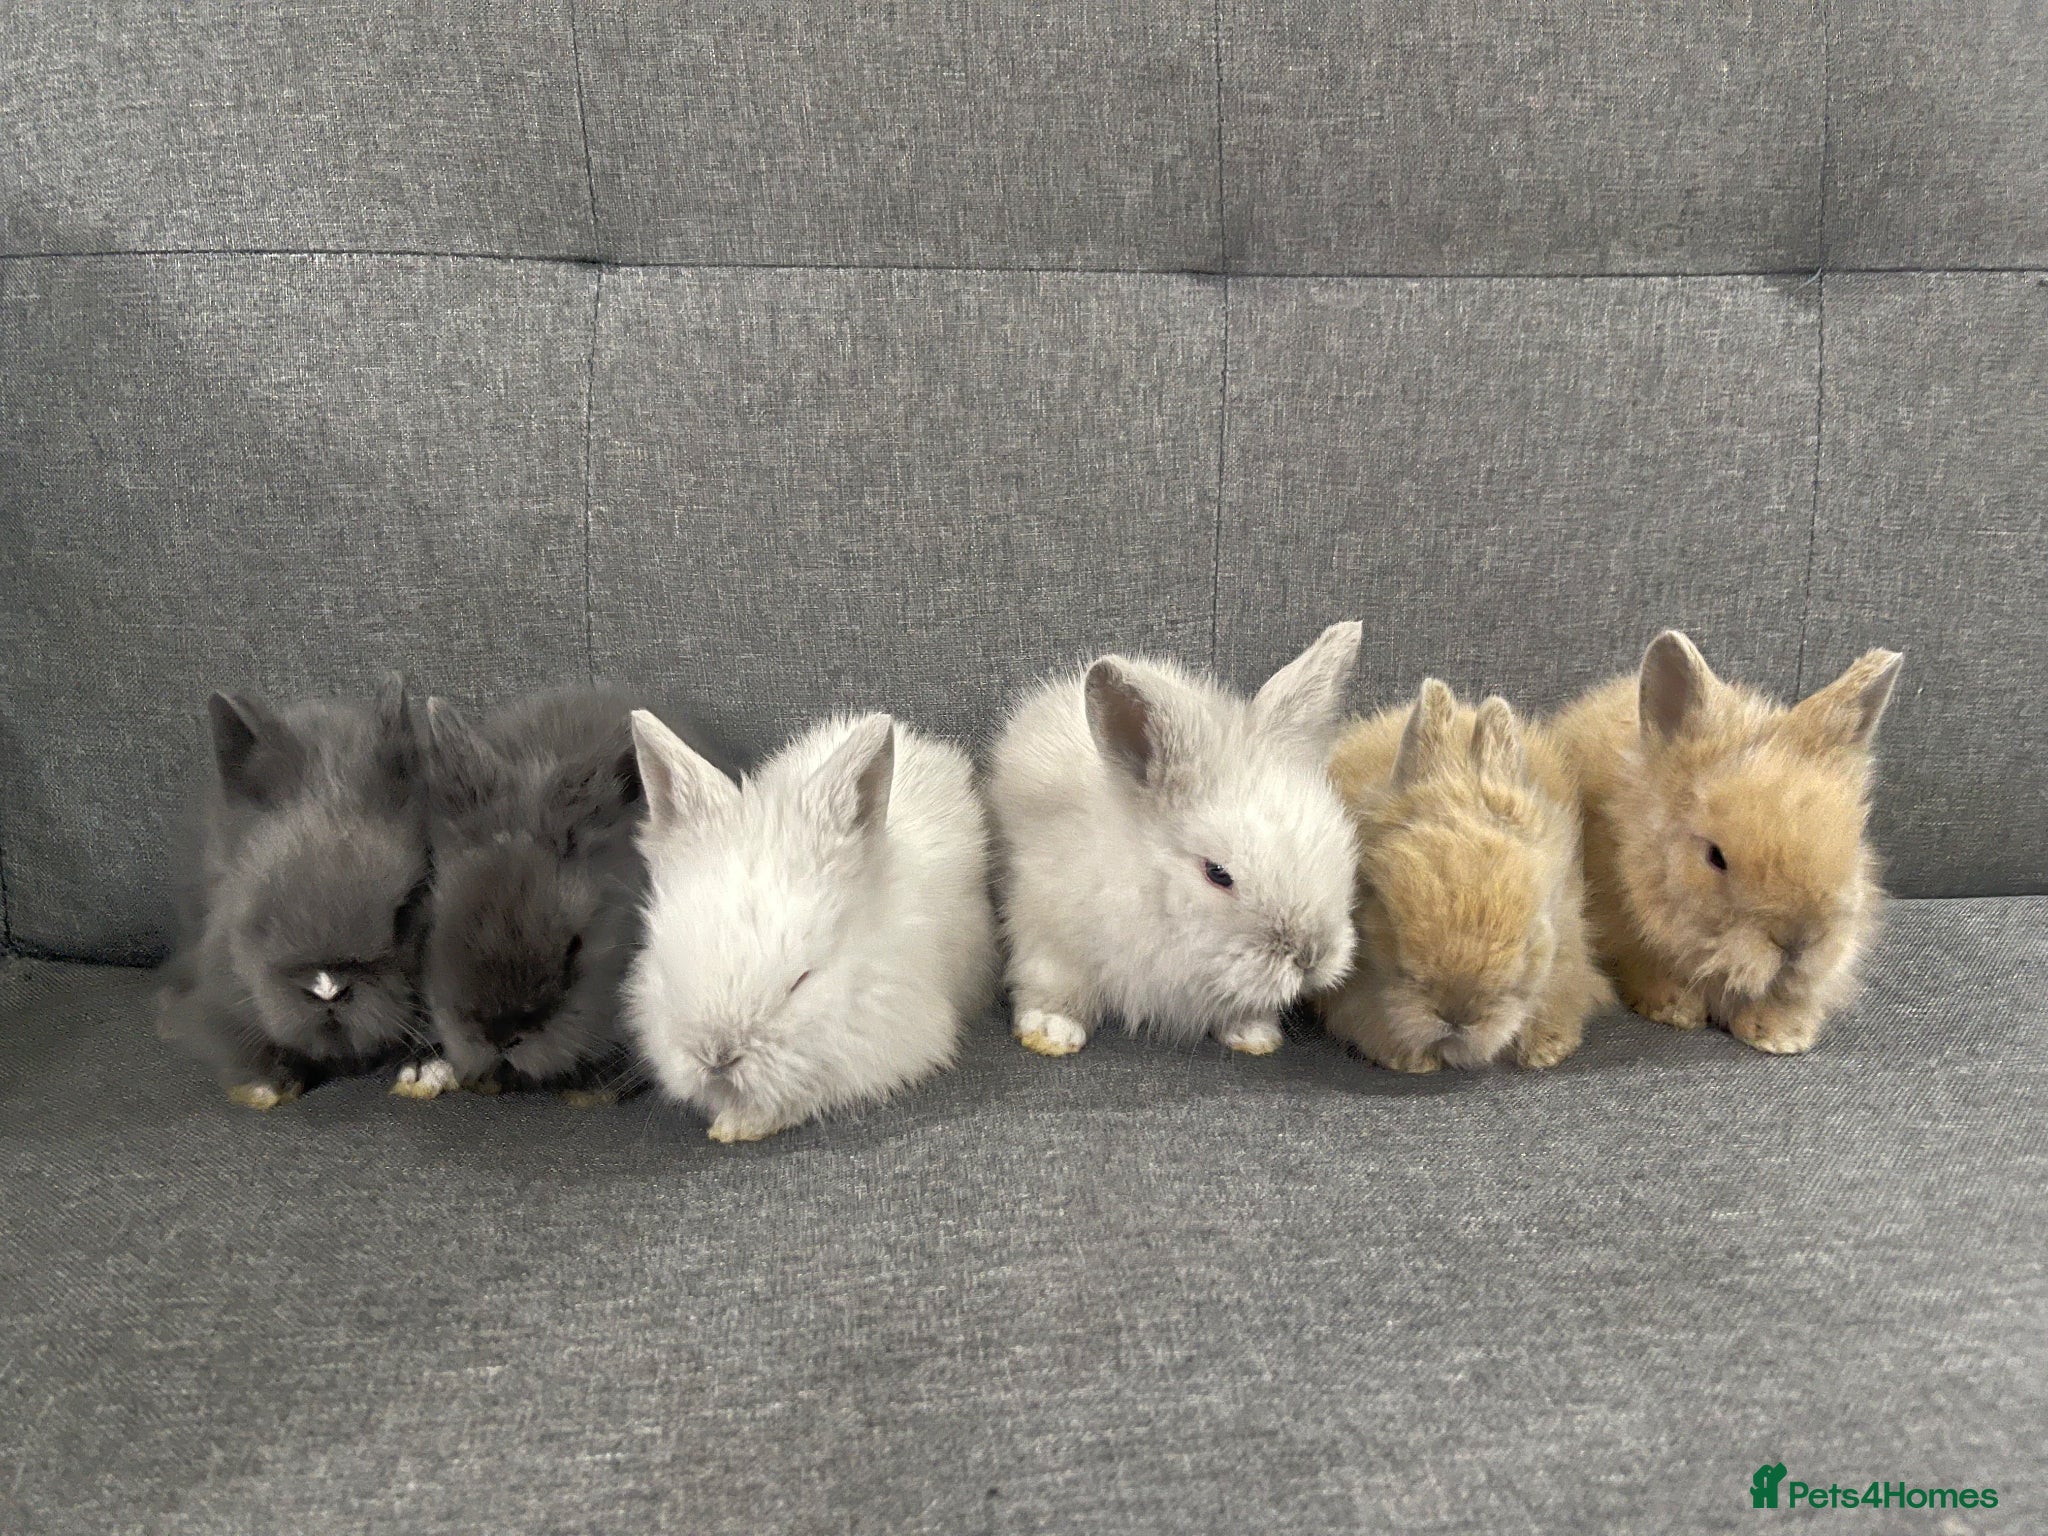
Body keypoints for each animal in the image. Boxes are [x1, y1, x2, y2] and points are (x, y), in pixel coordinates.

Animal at [988, 622, 1363, 1058]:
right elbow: (1054, 983)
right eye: (1217, 873)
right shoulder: (1048, 932)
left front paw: (1254, 1036)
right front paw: (1050, 1032)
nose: (1310, 956)